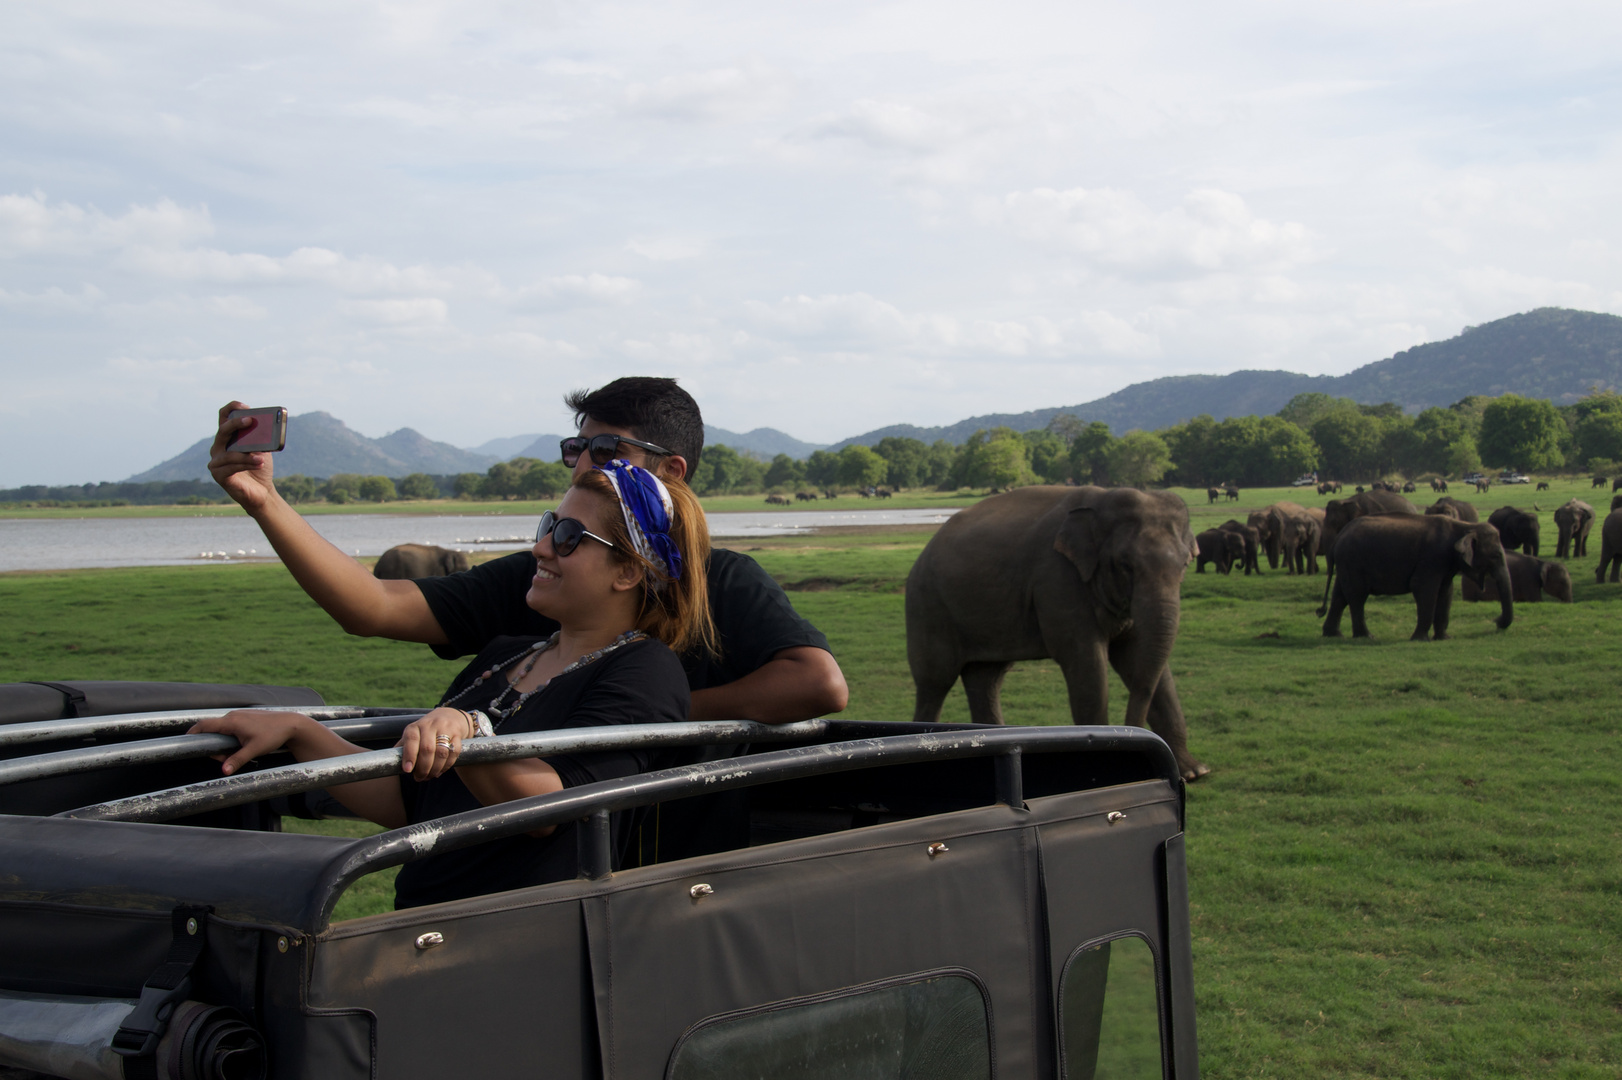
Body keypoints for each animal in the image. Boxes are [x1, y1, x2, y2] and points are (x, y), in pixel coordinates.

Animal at [908, 483, 1213, 778]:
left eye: (1185, 564)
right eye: (1126, 565)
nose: (1135, 738)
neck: (1103, 499)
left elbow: (1144, 660)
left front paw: (1194, 771)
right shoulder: (1058, 578)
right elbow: (1087, 665)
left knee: (986, 678)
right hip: (929, 606)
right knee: (935, 680)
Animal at [1317, 512, 1518, 638]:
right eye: (1496, 556)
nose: (1496, 621)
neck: (1465, 527)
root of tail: (1338, 538)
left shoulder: (1445, 563)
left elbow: (1446, 592)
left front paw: (1445, 638)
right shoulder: (1432, 557)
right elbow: (1424, 588)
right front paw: (1420, 638)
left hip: (1347, 564)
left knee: (1340, 596)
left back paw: (1333, 634)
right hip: (1353, 561)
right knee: (1357, 597)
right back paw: (1367, 636)